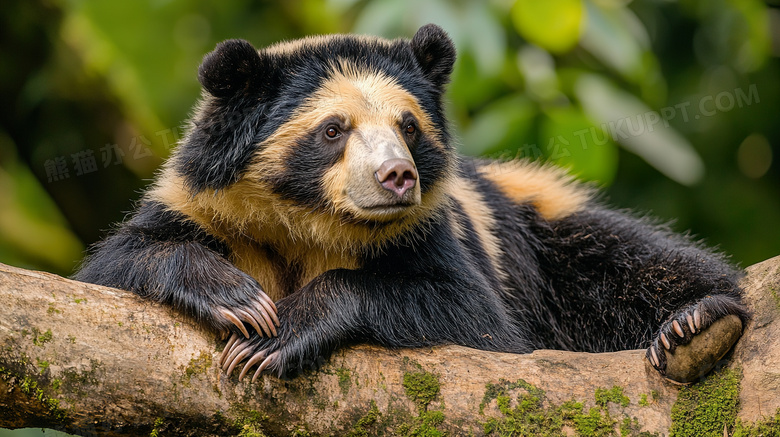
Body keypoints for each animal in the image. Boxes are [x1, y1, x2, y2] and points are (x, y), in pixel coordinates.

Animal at [73, 23, 748, 382]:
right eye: (333, 130)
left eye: (408, 125)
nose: (397, 177)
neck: (308, 221)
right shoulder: (209, 207)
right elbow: (119, 261)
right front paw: (240, 302)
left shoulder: (436, 232)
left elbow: (473, 317)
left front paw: (272, 339)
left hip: (544, 224)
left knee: (628, 260)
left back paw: (694, 324)